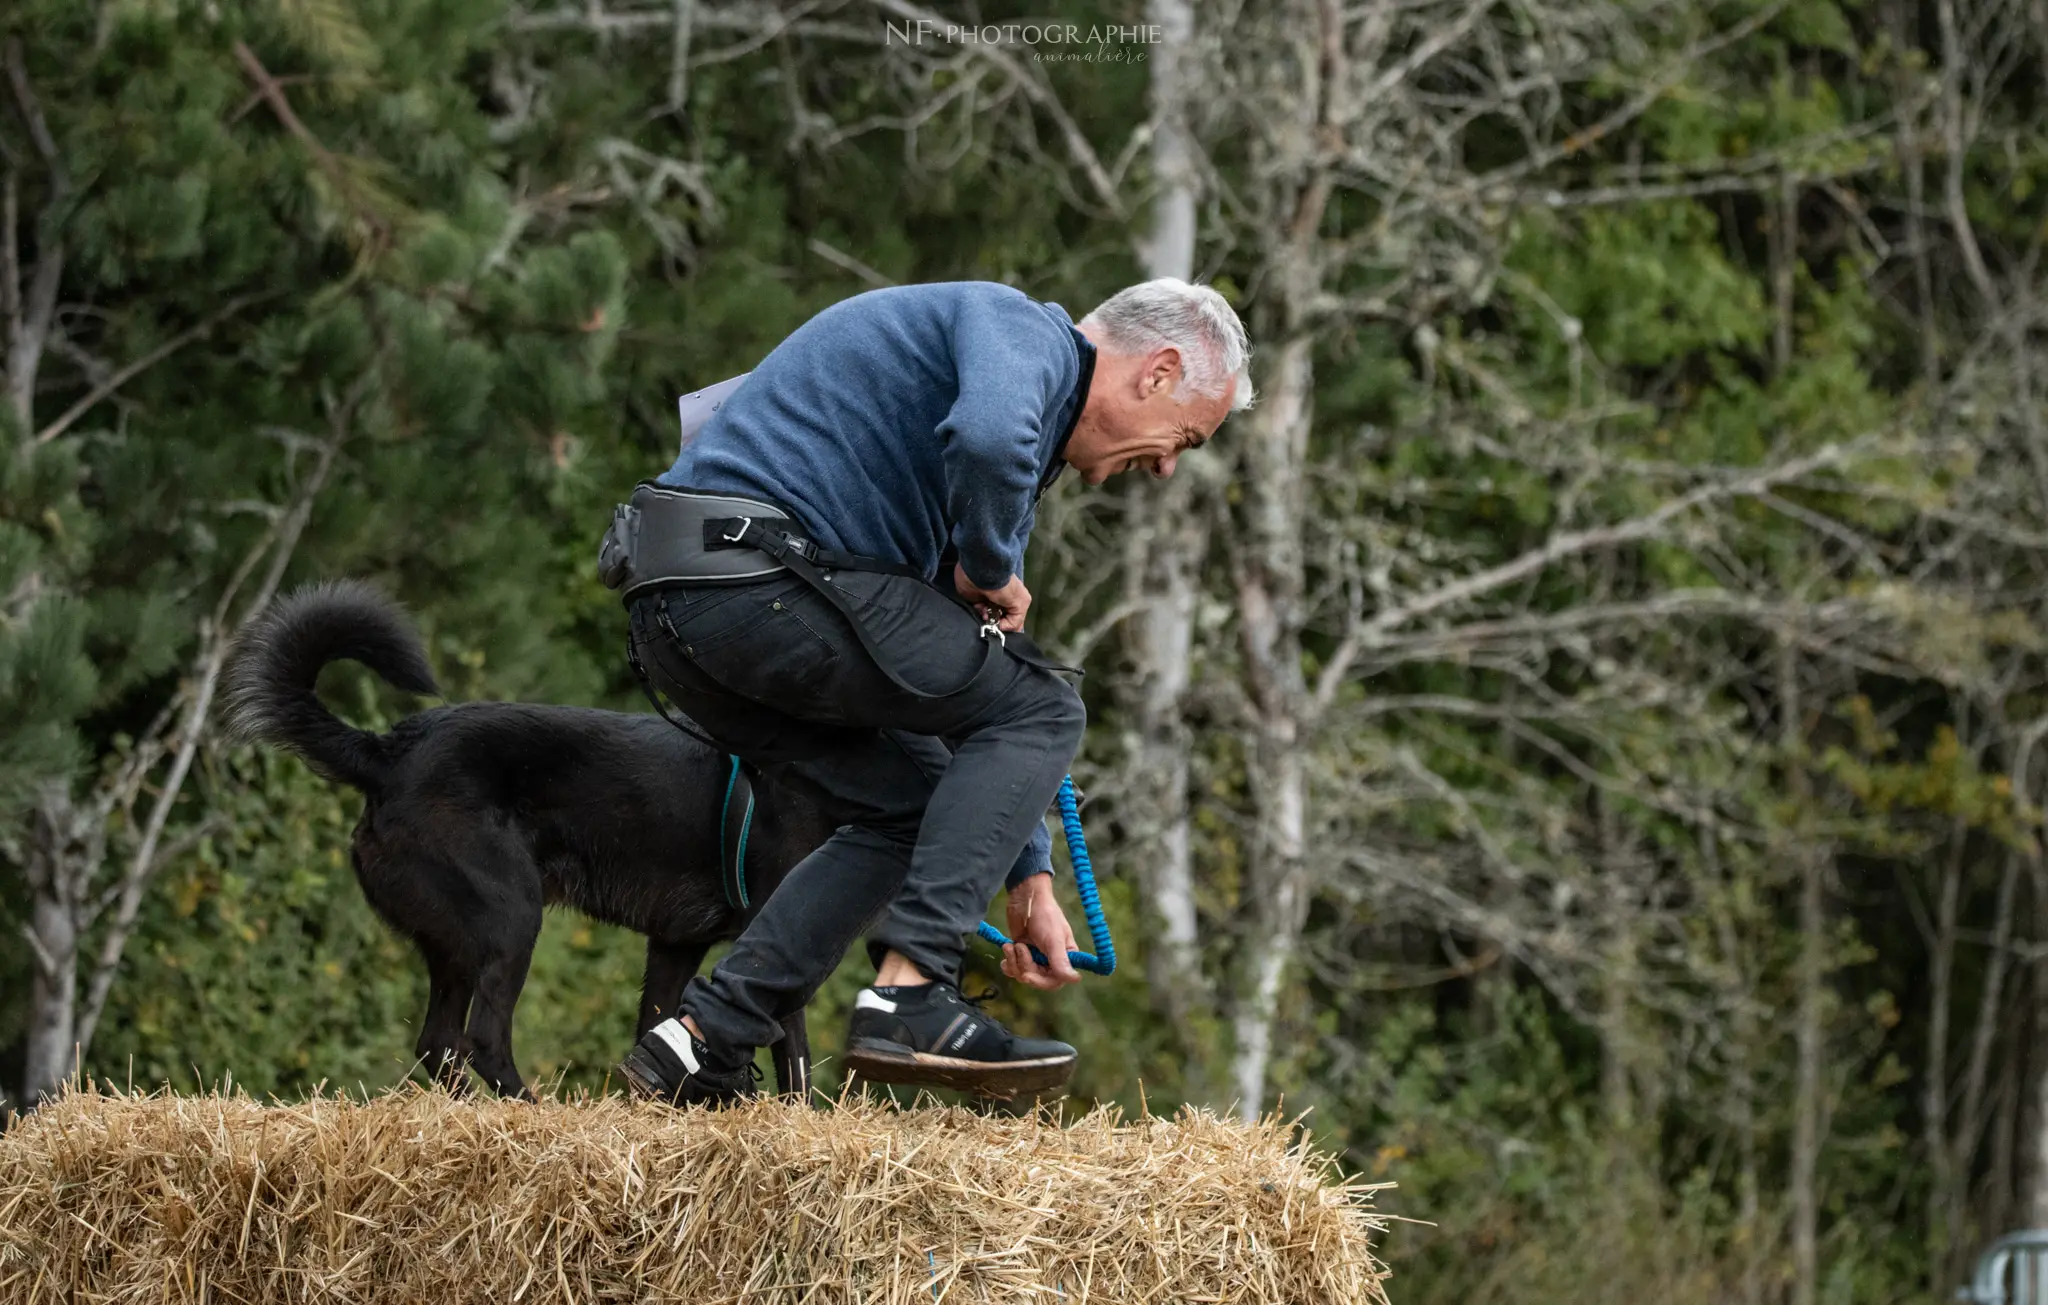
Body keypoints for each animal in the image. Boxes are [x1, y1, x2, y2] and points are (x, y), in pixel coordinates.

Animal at [220, 581, 835, 1098]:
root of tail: (387, 754)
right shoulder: (778, 939)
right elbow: (795, 1059)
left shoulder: (674, 944)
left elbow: (658, 1028)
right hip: (512, 917)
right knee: (483, 1040)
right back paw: (529, 1110)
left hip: (456, 943)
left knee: (438, 1043)